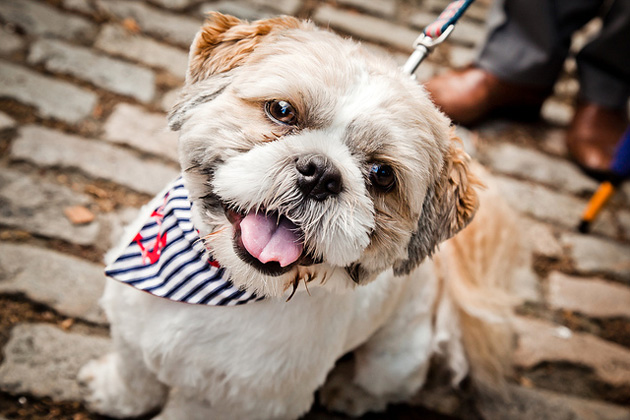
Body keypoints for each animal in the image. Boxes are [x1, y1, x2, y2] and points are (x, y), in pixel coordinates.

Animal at [79, 13, 524, 420]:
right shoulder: (131, 325)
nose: (321, 173)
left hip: (395, 360)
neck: (222, 283)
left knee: (386, 385)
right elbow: (133, 374)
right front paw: (110, 394)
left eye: (382, 174)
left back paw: (349, 393)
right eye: (281, 110)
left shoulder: (235, 404)